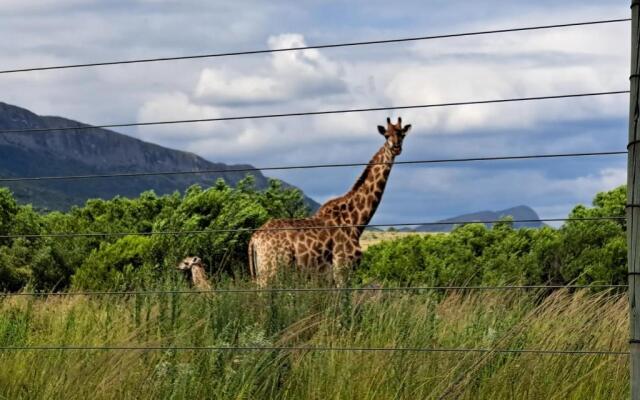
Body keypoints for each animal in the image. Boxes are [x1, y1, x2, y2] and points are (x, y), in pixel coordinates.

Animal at [248, 117, 412, 286]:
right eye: (386, 135)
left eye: (402, 134)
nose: (396, 148)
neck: (356, 221)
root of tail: (254, 239)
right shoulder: (342, 268)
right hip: (271, 271)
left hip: (261, 272)